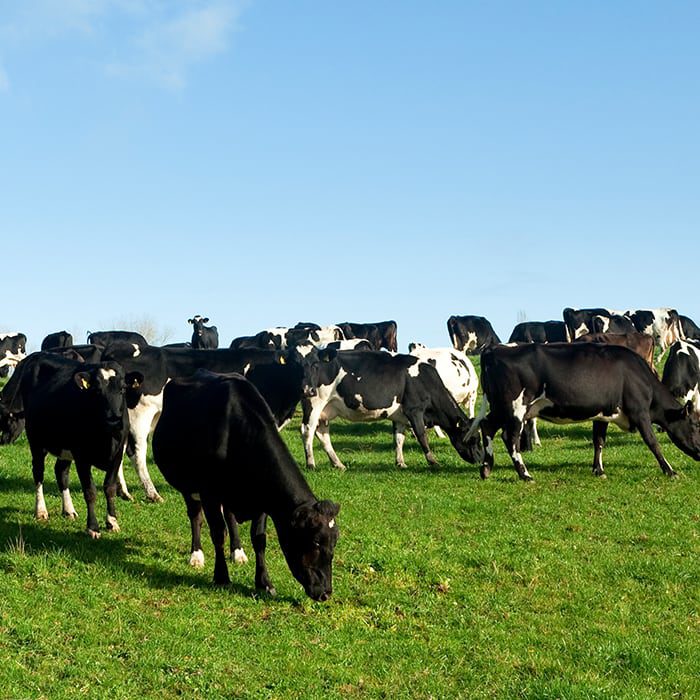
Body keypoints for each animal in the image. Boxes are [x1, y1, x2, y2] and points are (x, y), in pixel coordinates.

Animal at [0, 352, 142, 540]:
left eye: (123, 389)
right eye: (97, 390)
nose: (114, 419)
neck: (106, 437)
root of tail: (38, 355)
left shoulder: (117, 455)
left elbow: (109, 488)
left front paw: (112, 522)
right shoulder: (82, 457)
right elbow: (90, 492)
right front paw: (93, 528)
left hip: (64, 448)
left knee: (61, 472)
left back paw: (68, 510)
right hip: (36, 442)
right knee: (38, 473)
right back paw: (41, 510)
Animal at [152, 370, 340, 600]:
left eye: (334, 542)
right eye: (315, 542)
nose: (325, 593)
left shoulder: (263, 497)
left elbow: (259, 539)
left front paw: (264, 582)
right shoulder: (209, 493)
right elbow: (217, 532)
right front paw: (221, 577)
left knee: (230, 516)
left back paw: (238, 551)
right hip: (188, 484)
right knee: (195, 516)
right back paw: (196, 555)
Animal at [298, 350, 484, 470]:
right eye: (473, 439)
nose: (480, 459)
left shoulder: (399, 415)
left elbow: (399, 438)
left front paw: (400, 462)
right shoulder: (414, 409)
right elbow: (422, 436)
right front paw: (433, 461)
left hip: (325, 411)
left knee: (322, 434)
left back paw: (338, 464)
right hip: (314, 403)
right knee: (307, 431)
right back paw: (311, 464)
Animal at [470, 344, 700, 482]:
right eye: (696, 425)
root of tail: (494, 349)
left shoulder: (604, 413)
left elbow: (599, 440)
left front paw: (599, 470)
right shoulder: (640, 412)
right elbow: (653, 442)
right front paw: (670, 470)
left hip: (500, 407)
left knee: (487, 426)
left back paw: (486, 468)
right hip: (515, 408)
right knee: (510, 438)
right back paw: (525, 474)